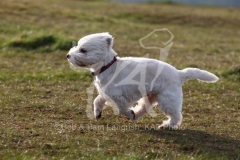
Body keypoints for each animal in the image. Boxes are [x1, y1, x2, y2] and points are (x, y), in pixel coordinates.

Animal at [66, 32, 218, 129]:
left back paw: (167, 125)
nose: (68, 55)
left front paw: (128, 113)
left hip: (167, 100)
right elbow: (97, 100)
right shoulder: (106, 93)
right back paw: (136, 115)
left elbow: (121, 109)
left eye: (83, 50)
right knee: (144, 107)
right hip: (150, 96)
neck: (107, 67)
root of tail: (179, 74)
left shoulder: (119, 97)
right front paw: (97, 113)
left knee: (176, 115)